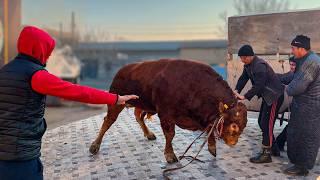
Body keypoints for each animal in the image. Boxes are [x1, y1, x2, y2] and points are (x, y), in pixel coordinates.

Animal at [89, 59, 249, 163]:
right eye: (233, 125)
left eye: (244, 123)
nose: (233, 142)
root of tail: (123, 70)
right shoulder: (166, 115)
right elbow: (170, 134)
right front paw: (170, 156)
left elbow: (209, 129)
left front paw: (212, 148)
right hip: (116, 103)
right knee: (108, 121)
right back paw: (95, 146)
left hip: (143, 104)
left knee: (138, 116)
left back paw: (149, 134)